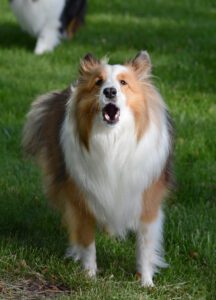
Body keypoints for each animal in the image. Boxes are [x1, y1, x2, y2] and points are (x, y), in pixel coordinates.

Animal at [22, 51, 173, 286]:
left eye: (123, 83)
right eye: (98, 82)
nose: (109, 91)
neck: (112, 140)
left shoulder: (147, 202)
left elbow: (145, 247)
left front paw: (147, 283)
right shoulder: (81, 199)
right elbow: (87, 242)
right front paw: (89, 276)